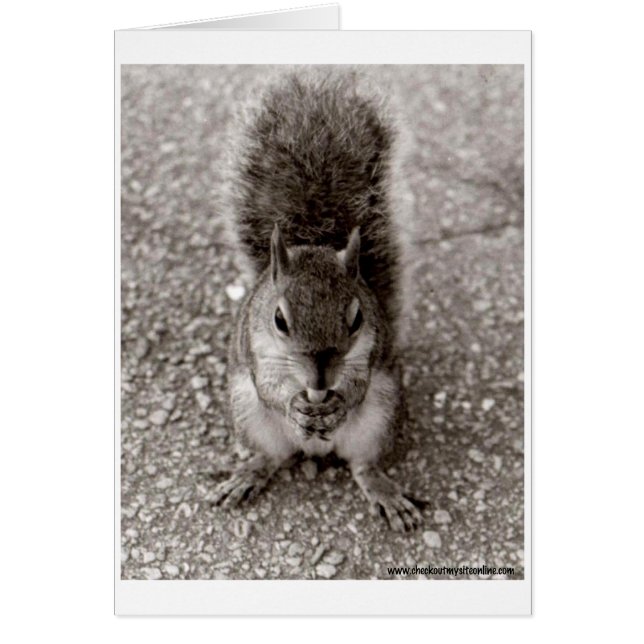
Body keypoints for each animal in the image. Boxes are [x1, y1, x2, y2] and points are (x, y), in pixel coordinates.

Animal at [210, 69, 424, 531]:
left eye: (357, 318)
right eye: (279, 319)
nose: (322, 379)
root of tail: (317, 451)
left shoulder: (370, 353)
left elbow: (358, 384)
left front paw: (340, 402)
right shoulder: (256, 351)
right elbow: (270, 387)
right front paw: (294, 404)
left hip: (380, 416)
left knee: (363, 464)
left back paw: (384, 492)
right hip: (248, 414)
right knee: (271, 455)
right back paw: (249, 473)